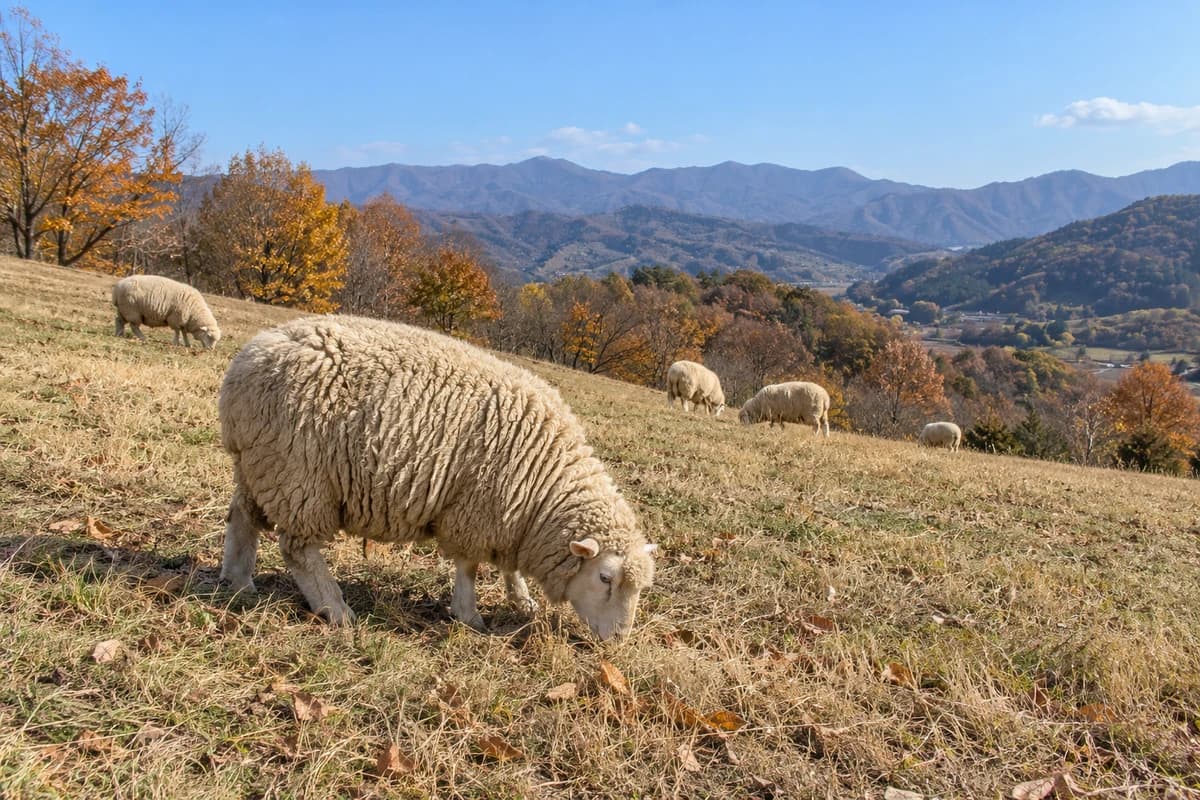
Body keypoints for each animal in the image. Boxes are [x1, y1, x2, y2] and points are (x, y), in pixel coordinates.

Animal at [217, 315, 657, 640]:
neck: (545, 490)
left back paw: (239, 583)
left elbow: (509, 567)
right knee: (299, 549)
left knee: (241, 517)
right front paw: (469, 615)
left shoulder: (509, 518)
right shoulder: (476, 509)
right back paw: (336, 609)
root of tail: (246, 362)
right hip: (299, 476)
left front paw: (522, 601)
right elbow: (469, 566)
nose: (620, 639)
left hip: (259, 466)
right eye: (605, 578)